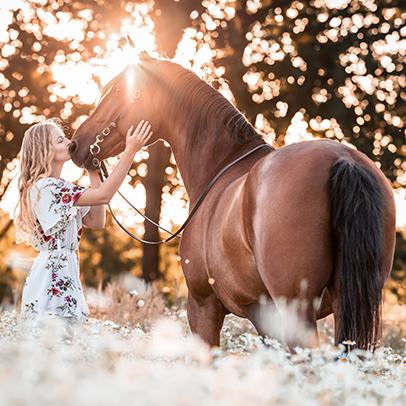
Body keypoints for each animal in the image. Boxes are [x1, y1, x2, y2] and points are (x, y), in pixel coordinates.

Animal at [70, 52, 396, 350]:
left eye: (117, 90)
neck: (220, 168)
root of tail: (342, 160)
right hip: (350, 304)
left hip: (297, 308)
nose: (75, 145)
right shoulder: (263, 318)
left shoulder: (202, 307)